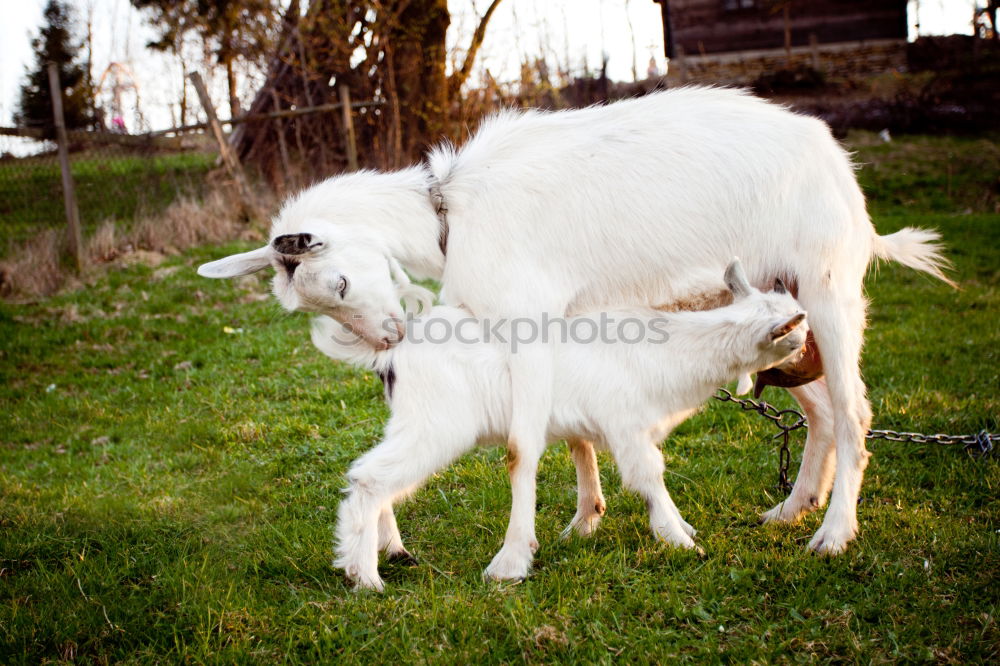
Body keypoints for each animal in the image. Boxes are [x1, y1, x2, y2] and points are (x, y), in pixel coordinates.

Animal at [197, 87, 952, 576]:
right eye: (313, 306)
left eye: (339, 285)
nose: (388, 340)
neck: (449, 215)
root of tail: (838, 166)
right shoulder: (557, 321)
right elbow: (573, 435)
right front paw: (586, 518)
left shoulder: (525, 321)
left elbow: (523, 447)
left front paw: (512, 558)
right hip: (785, 312)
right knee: (819, 411)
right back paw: (791, 511)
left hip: (828, 285)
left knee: (853, 412)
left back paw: (833, 534)